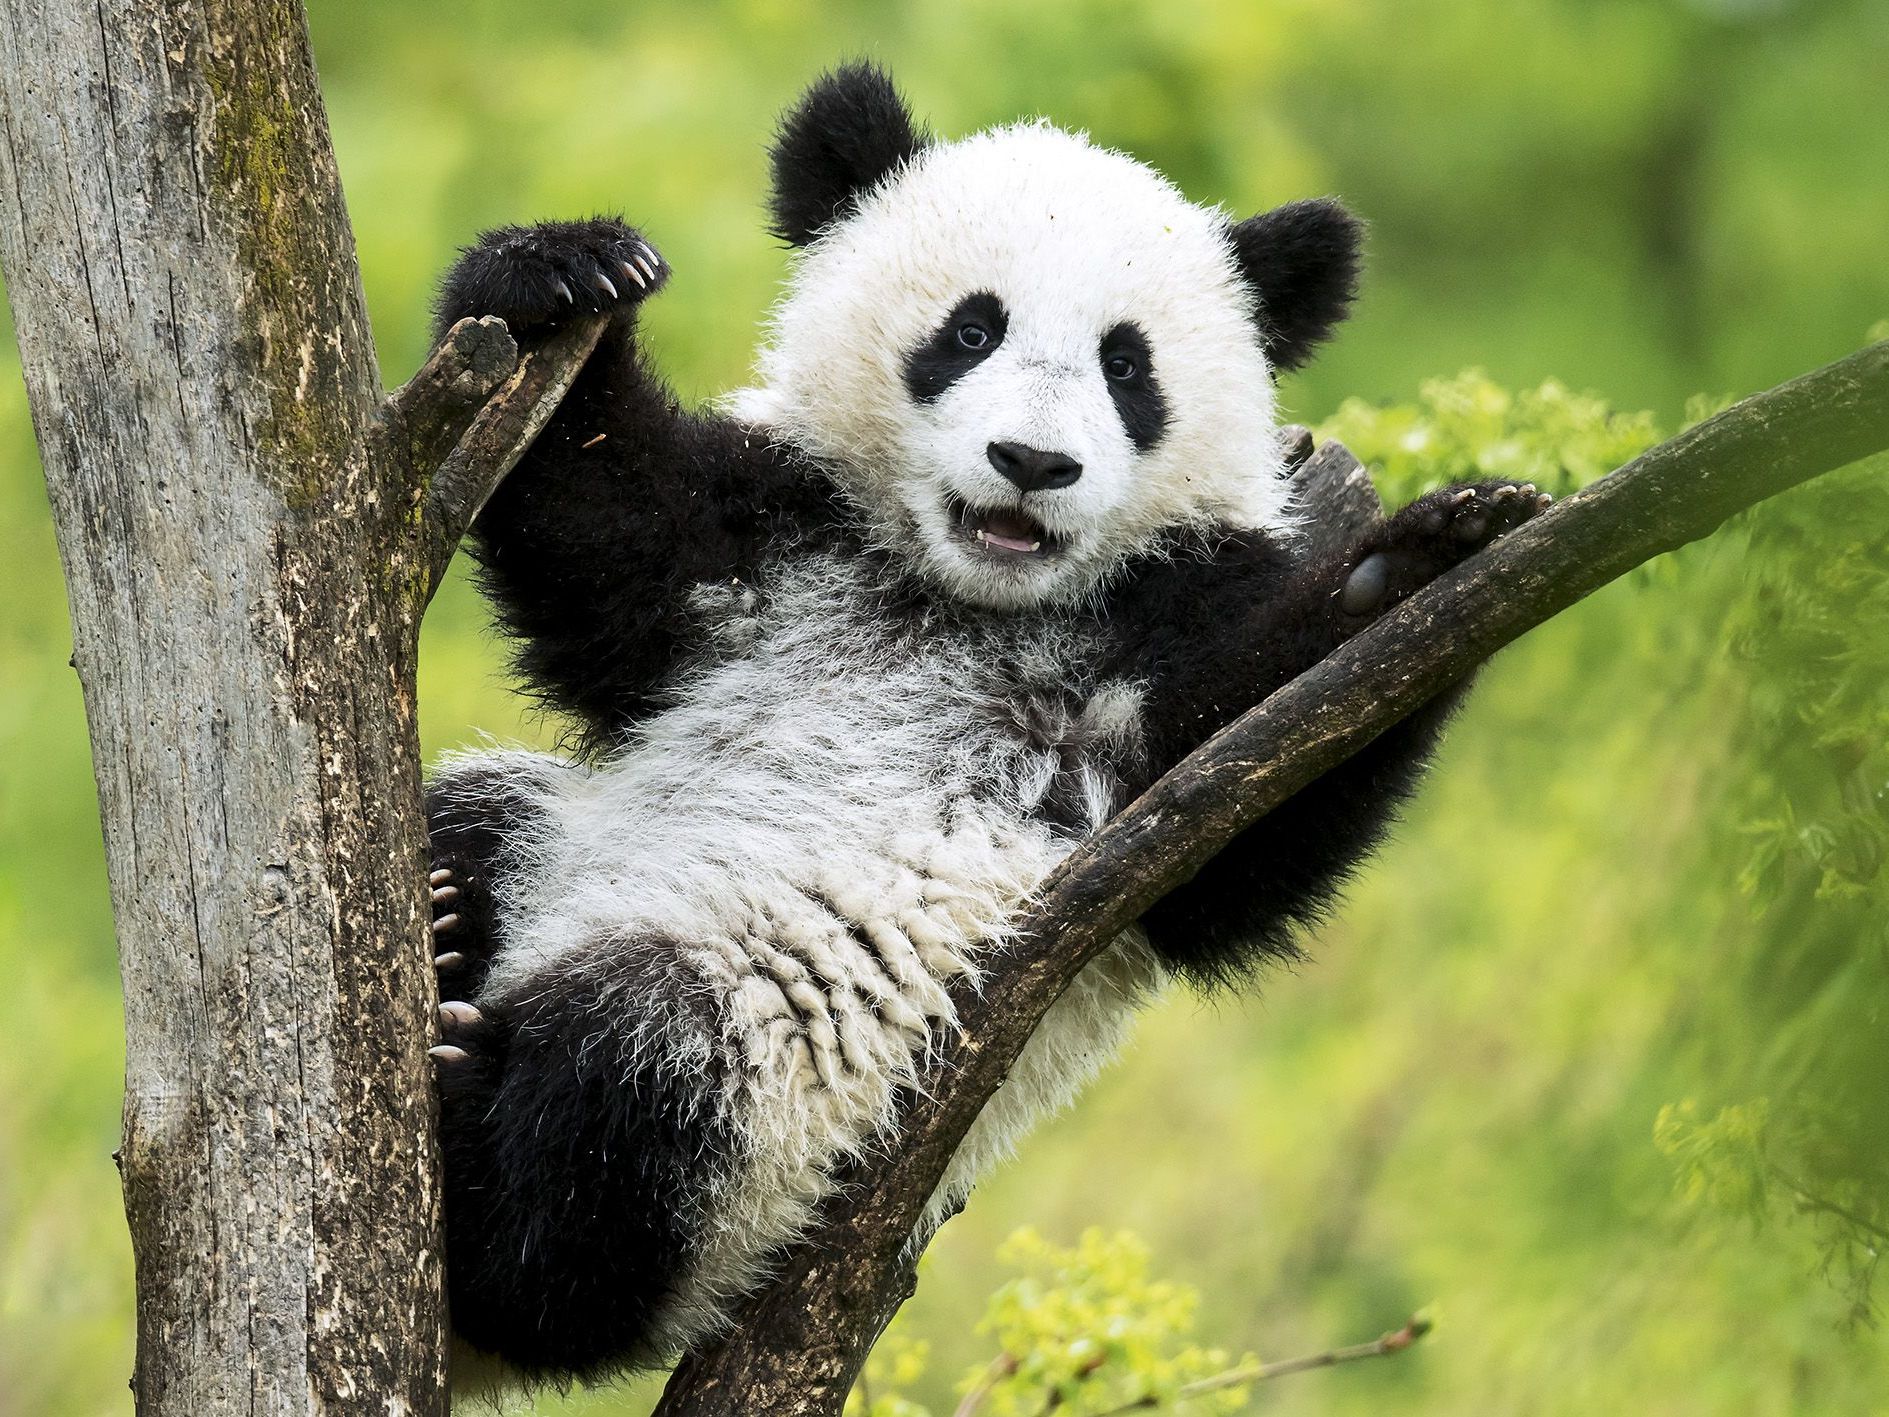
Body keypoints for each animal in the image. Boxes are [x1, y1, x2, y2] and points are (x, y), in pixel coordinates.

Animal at [421, 63, 1541, 1390]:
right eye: (968, 331)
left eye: (1126, 368)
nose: (1031, 462)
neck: (966, 600)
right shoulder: (769, 552)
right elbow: (610, 544)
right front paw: (561, 270)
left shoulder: (1155, 674)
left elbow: (1244, 841)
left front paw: (1424, 564)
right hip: (559, 845)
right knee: (474, 815)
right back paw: (441, 917)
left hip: (800, 1076)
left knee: (633, 1091)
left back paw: (478, 1157)